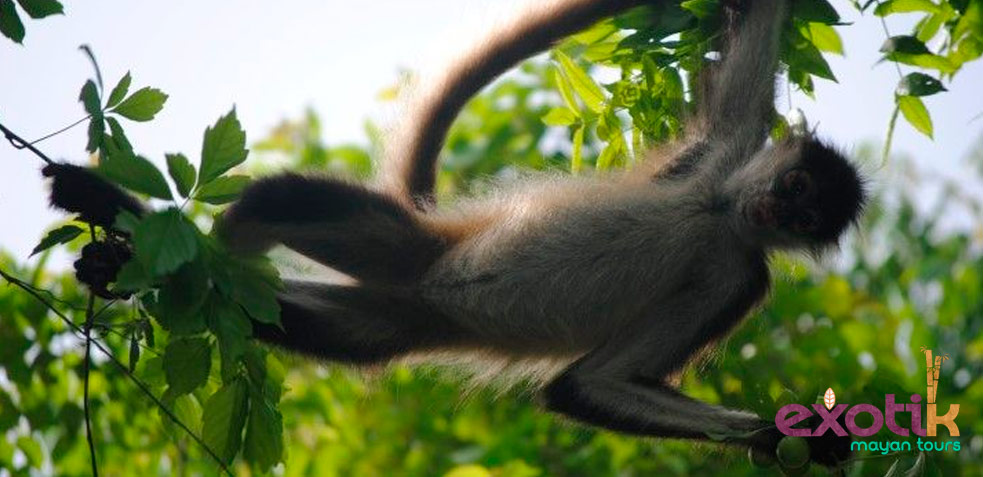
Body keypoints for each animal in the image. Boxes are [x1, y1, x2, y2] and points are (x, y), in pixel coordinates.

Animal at [219, 0, 866, 466]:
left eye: (806, 220)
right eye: (796, 185)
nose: (776, 212)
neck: (716, 218)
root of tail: (429, 285)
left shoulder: (738, 276)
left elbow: (586, 384)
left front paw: (792, 436)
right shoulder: (723, 158)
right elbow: (747, 80)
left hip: (400, 310)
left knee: (304, 321)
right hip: (413, 254)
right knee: (277, 202)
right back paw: (200, 259)